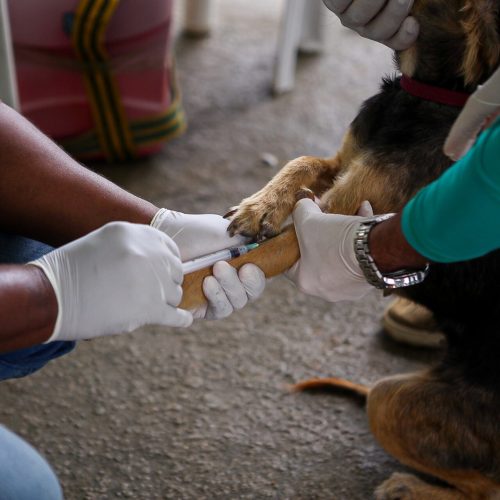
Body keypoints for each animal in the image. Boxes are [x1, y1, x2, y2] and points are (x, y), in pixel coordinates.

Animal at [209, 1, 500, 498]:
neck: (434, 91)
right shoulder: (341, 166)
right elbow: (302, 160)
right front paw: (261, 204)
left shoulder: (341, 214)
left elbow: (261, 255)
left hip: (387, 400)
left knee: (489, 488)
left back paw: (409, 487)